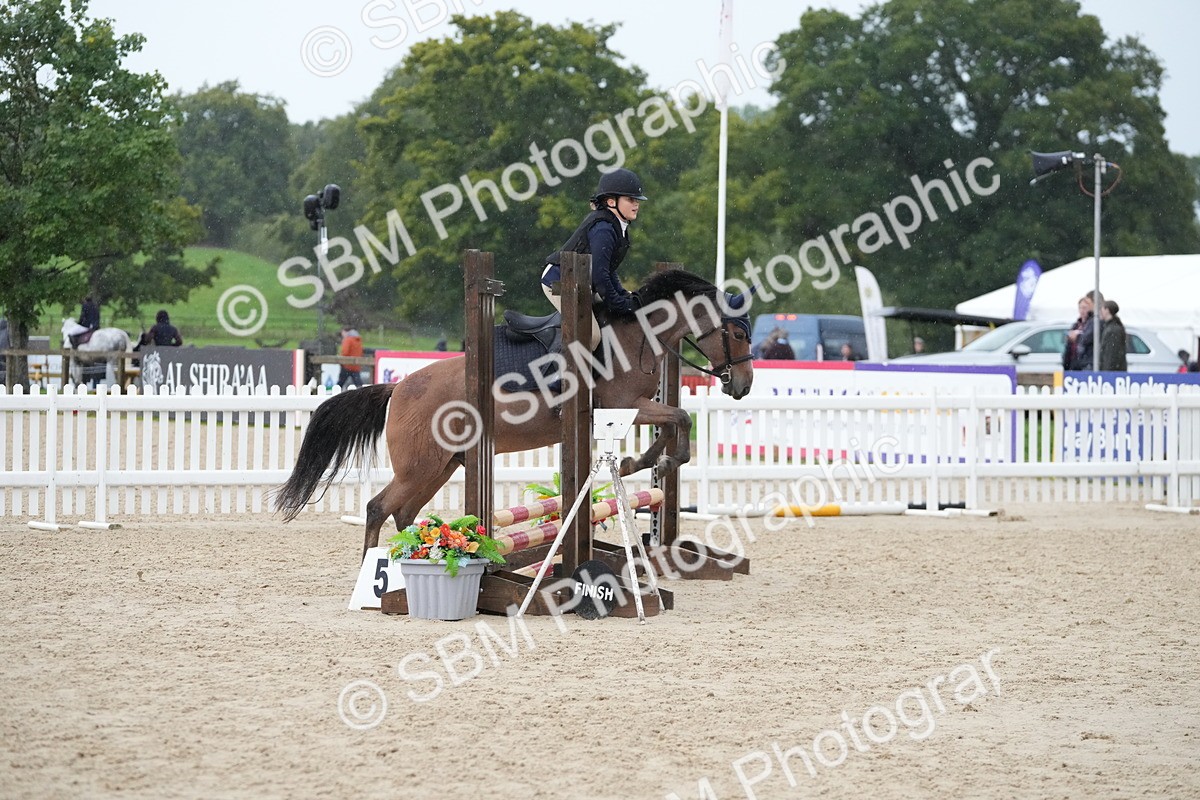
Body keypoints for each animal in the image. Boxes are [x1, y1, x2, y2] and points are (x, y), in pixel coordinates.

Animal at [274, 269, 756, 559]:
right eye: (736, 332)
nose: (743, 385)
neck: (635, 335)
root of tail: (398, 387)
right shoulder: (624, 406)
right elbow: (680, 418)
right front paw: (656, 460)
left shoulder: (633, 409)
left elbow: (674, 419)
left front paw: (647, 461)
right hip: (420, 466)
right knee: (378, 508)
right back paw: (372, 571)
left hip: (442, 466)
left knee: (405, 514)